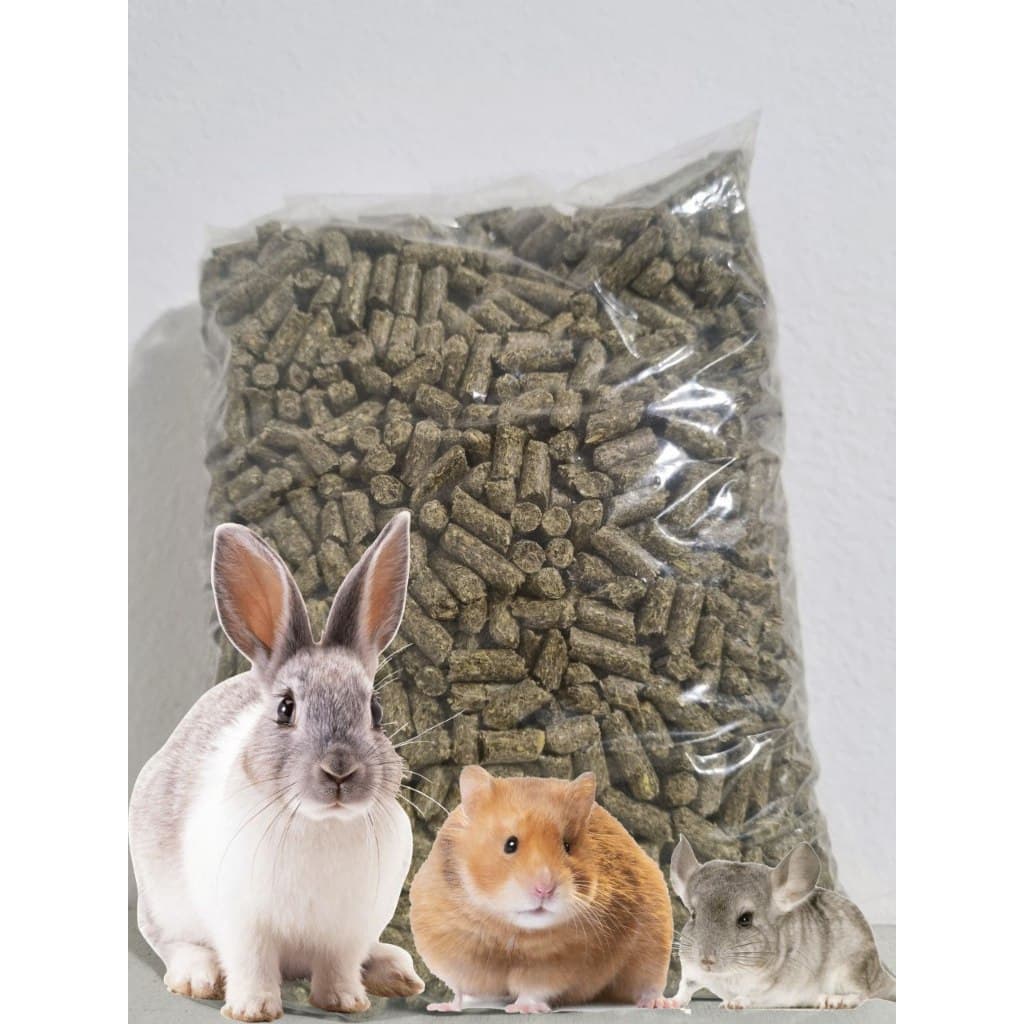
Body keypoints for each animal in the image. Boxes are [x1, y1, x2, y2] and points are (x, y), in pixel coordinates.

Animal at [409, 766, 677, 1013]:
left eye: (567, 846)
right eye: (510, 844)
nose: (544, 890)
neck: (510, 930)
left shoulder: (556, 964)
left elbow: (533, 989)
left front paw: (522, 1009)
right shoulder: (451, 951)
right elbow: (459, 989)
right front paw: (441, 1007)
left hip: (653, 942)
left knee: (649, 982)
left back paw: (659, 1003)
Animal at [669, 836, 896, 1010]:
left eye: (745, 919)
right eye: (693, 915)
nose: (706, 961)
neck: (729, 975)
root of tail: (879, 970)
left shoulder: (772, 990)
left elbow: (751, 997)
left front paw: (733, 1003)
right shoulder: (691, 972)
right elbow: (684, 989)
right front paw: (667, 1002)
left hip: (849, 970)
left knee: (863, 993)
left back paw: (835, 1000)